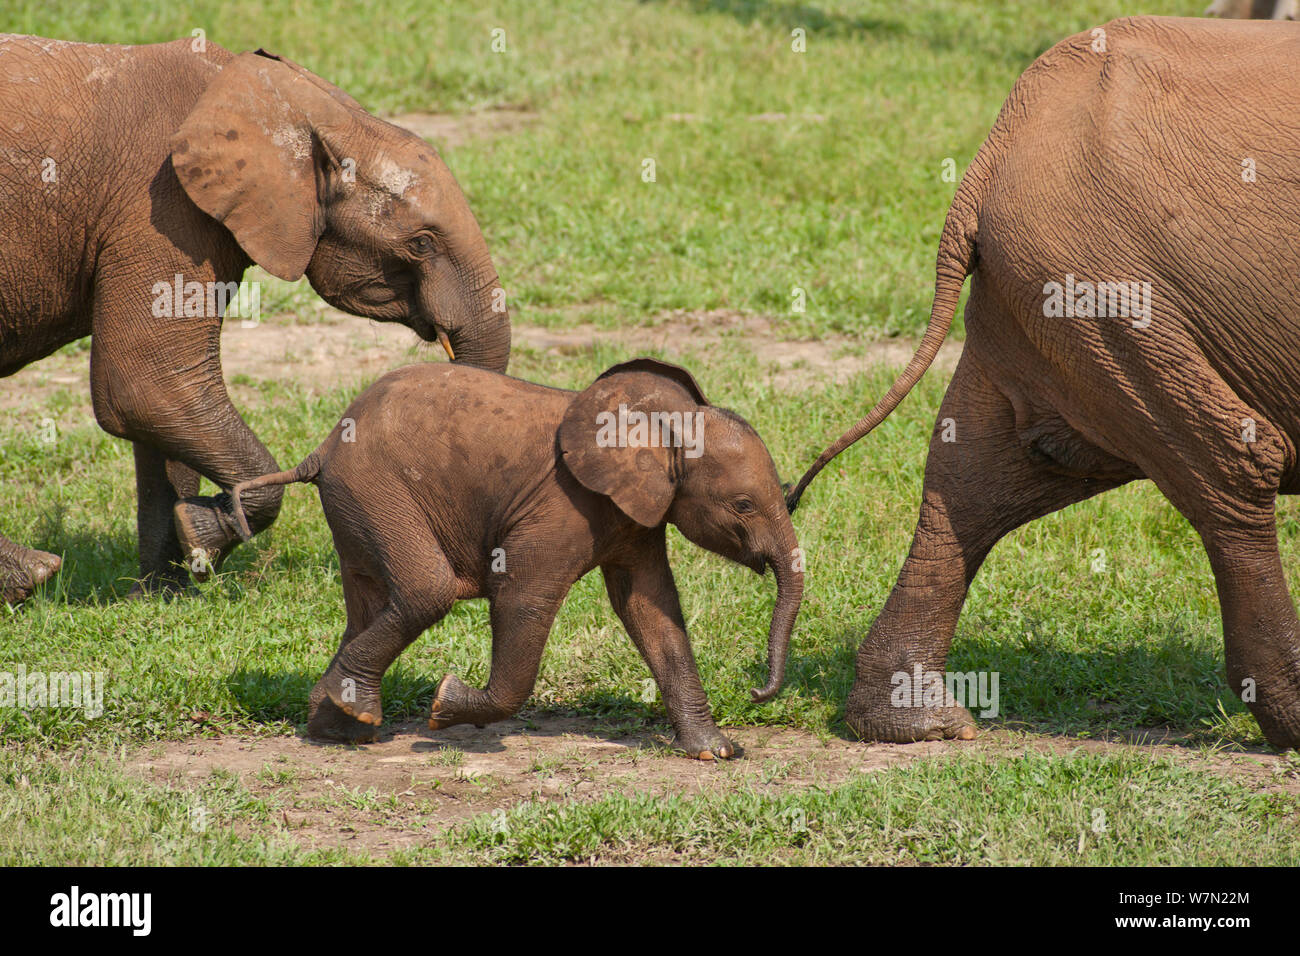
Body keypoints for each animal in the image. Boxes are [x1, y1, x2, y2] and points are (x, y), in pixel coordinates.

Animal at [0, 35, 510, 603]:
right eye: (421, 244)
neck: (300, 110)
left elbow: (158, 411)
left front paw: (164, 589)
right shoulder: (160, 209)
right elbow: (147, 387)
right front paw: (205, 536)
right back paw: (34, 575)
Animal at [229, 358, 804, 759]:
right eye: (744, 505)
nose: (756, 691)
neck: (666, 420)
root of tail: (322, 448)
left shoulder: (636, 514)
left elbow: (651, 610)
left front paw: (717, 752)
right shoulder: (563, 505)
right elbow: (523, 597)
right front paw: (444, 703)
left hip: (358, 504)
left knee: (367, 604)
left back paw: (338, 728)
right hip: (376, 490)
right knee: (426, 590)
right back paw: (356, 716)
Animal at [785, 16, 1300, 750]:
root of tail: (995, 149)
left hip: (1052, 294)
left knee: (978, 472)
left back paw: (917, 722)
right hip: (1112, 287)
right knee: (1232, 462)